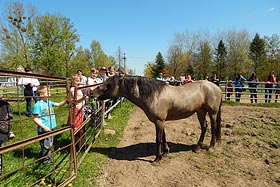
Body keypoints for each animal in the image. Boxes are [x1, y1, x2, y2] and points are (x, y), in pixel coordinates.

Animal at [91, 75, 222, 161]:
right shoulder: (161, 122)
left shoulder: (159, 121)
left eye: (109, 84)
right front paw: (165, 152)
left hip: (212, 113)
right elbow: (164, 137)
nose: (92, 93)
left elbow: (158, 139)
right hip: (200, 111)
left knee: (213, 127)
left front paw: (157, 158)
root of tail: (216, 87)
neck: (154, 96)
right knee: (204, 127)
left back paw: (211, 147)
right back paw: (197, 147)